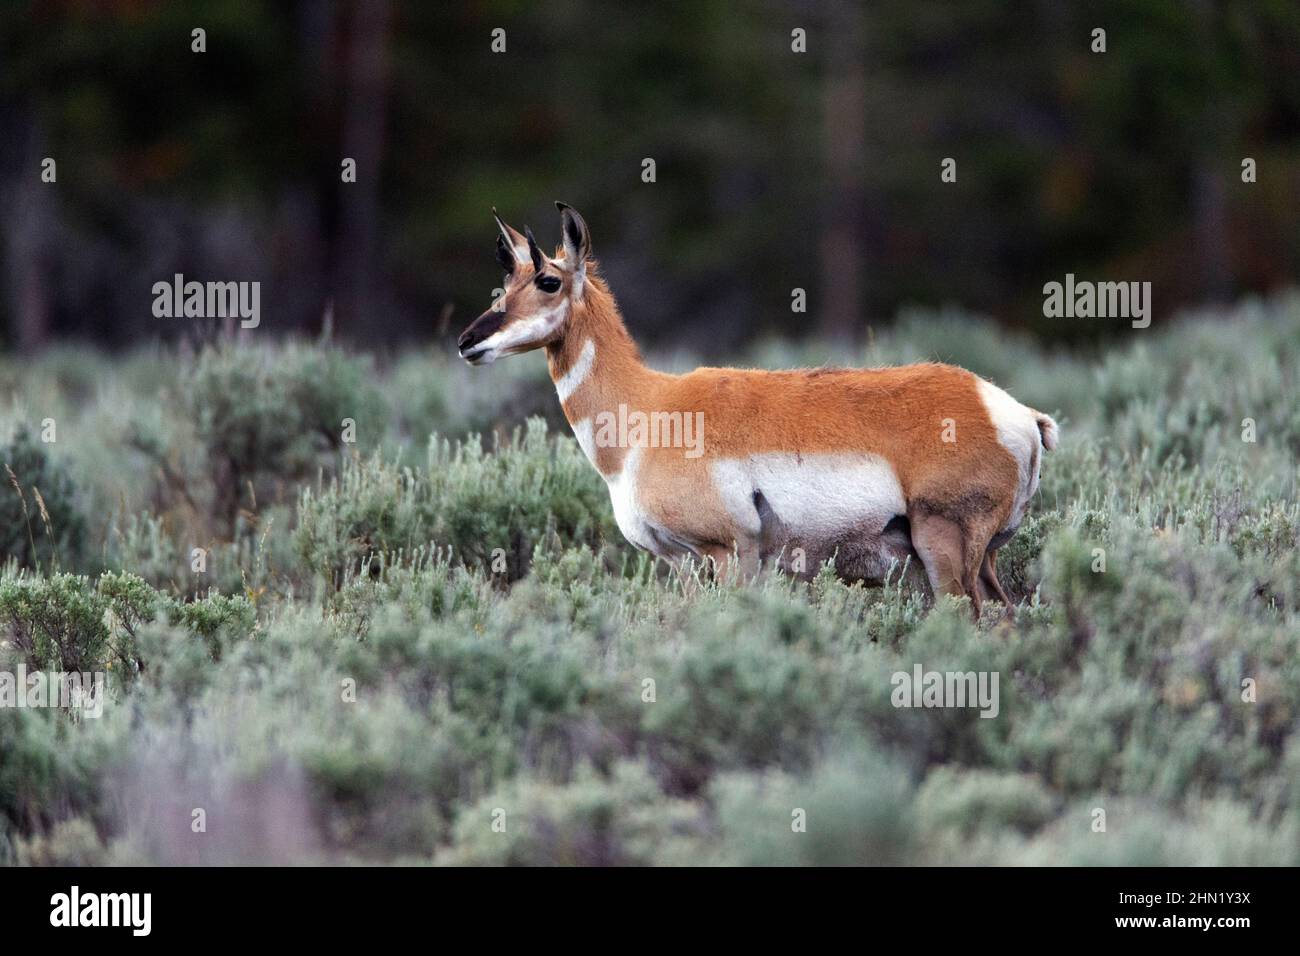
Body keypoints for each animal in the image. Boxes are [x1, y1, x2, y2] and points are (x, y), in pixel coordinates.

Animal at [457, 204, 1059, 618]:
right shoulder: (680, 563)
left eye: (548, 280)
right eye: (506, 280)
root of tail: (1015, 413)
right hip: (977, 561)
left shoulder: (727, 554)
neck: (650, 410)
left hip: (943, 548)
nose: (467, 342)